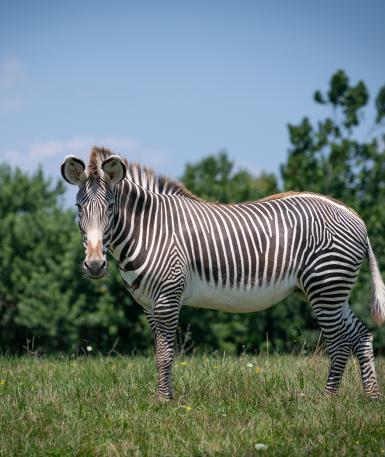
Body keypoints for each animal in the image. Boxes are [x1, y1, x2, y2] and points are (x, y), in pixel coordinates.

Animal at [60, 148, 384, 400]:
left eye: (110, 207)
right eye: (78, 207)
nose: (94, 265)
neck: (148, 229)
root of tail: (356, 216)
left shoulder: (167, 297)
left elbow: (165, 353)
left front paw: (163, 403)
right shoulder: (150, 305)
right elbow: (159, 353)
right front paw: (165, 397)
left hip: (325, 285)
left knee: (339, 341)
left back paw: (327, 399)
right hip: (333, 291)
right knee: (360, 334)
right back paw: (370, 396)